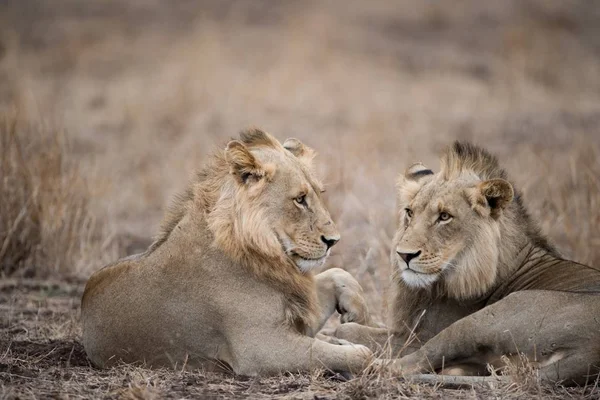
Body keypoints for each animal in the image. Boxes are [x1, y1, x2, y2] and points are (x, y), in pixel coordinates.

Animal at [80, 130, 372, 376]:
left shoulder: (297, 314)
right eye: (300, 199)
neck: (267, 253)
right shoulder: (260, 348)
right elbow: (359, 356)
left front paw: (355, 314)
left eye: (319, 193)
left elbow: (338, 273)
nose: (333, 241)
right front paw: (358, 349)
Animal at [330, 141, 600, 384]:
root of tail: (589, 354)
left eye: (444, 216)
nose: (404, 255)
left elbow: (352, 329)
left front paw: (339, 331)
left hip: (480, 321)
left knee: (404, 364)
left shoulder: (415, 336)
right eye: (409, 212)